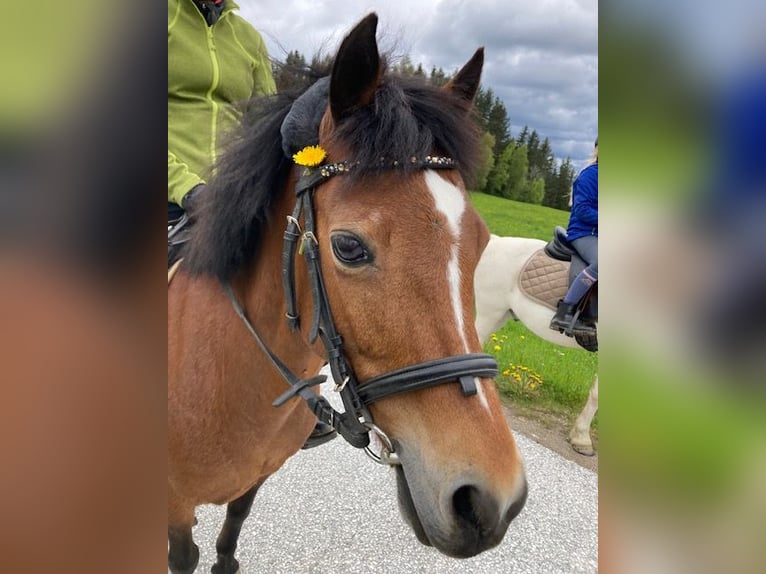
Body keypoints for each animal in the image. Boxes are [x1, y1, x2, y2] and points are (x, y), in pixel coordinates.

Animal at [168, 13, 528, 574]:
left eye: (481, 242)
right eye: (348, 247)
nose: (492, 502)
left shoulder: (256, 476)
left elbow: (234, 526)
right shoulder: (174, 504)